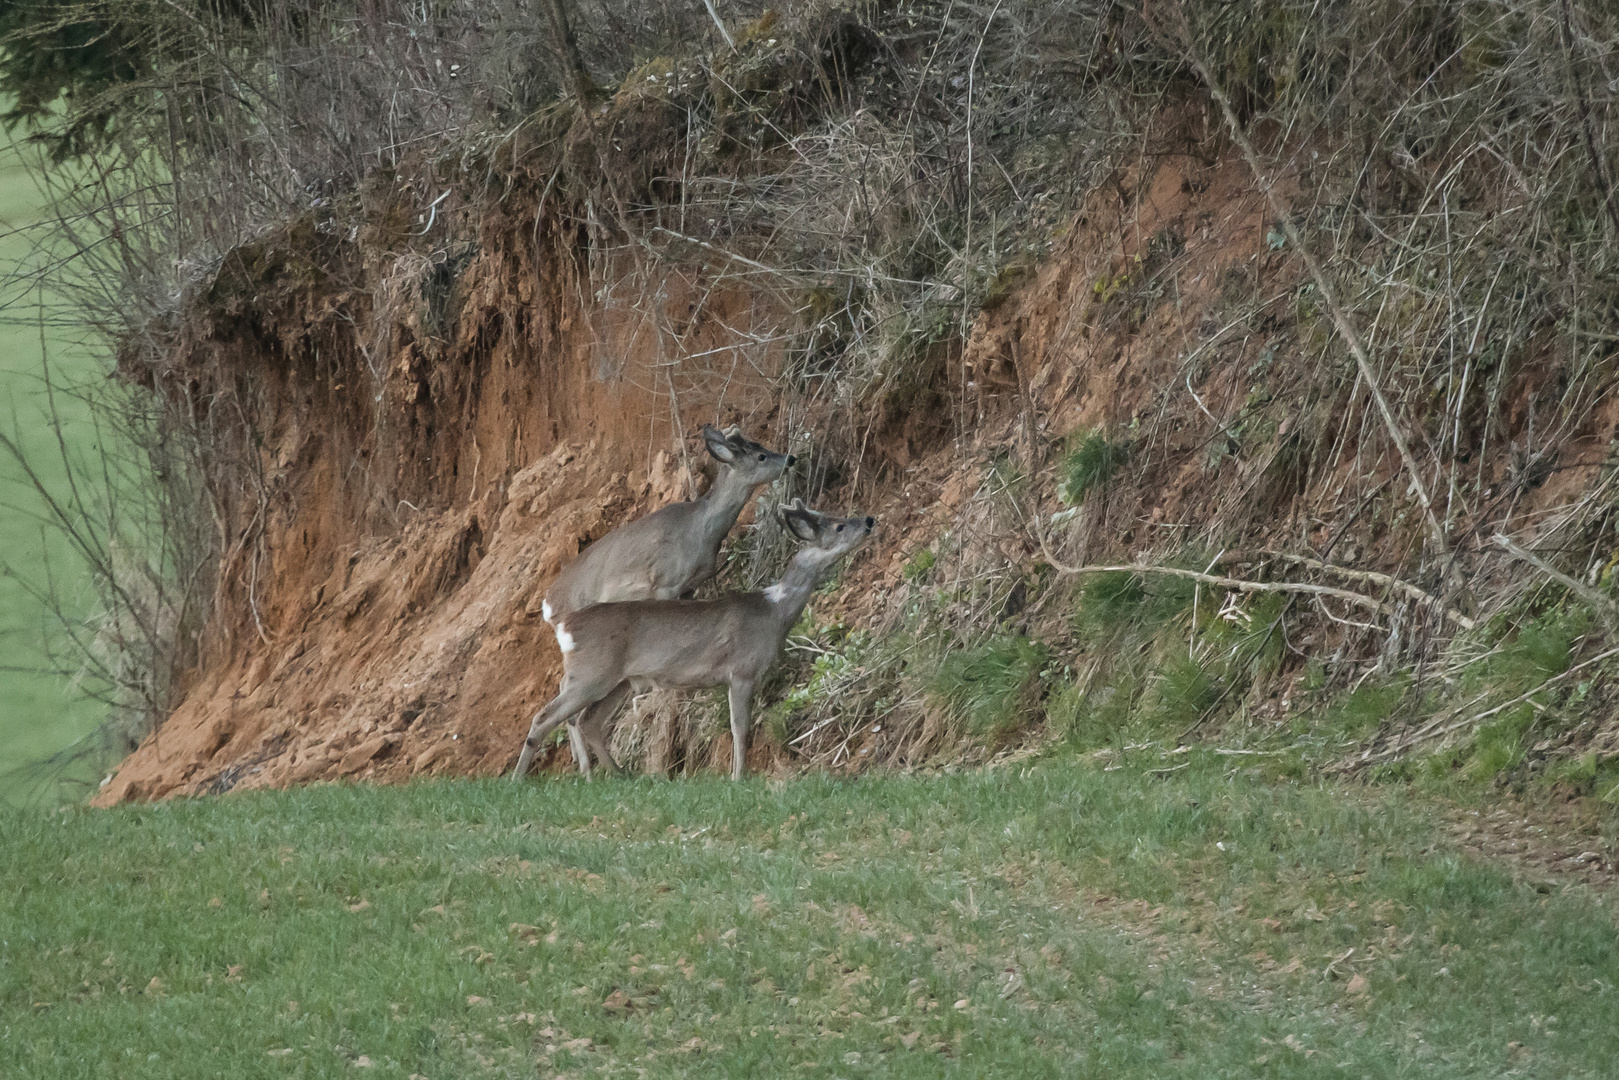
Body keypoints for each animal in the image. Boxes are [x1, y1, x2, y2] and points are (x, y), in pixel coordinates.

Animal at [514, 501, 874, 780]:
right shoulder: (742, 670)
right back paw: (519, 780)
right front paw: (738, 777)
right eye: (840, 525)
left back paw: (620, 775)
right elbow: (739, 727)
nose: (869, 521)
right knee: (545, 717)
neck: (774, 611)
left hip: (620, 680)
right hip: (593, 672)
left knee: (589, 721)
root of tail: (566, 625)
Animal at [543, 427, 796, 773]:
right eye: (760, 456)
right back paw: (585, 767)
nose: (791, 459)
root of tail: (548, 604)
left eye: (762, 447)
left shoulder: (689, 587)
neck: (700, 532)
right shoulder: (664, 582)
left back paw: (582, 764)